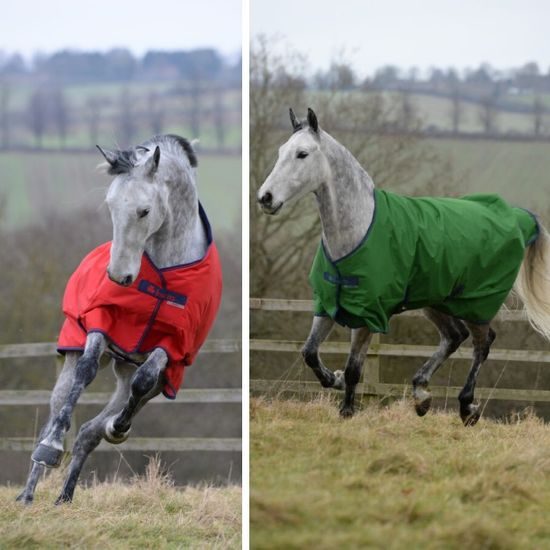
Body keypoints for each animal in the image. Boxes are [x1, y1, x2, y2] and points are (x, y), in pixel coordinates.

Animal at [17, 136, 211, 506]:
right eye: (110, 206)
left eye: (144, 211)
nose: (119, 277)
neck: (165, 274)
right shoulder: (102, 321)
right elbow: (87, 370)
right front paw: (52, 447)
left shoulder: (174, 347)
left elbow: (144, 380)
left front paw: (118, 428)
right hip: (74, 357)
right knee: (57, 411)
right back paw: (29, 490)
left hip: (138, 374)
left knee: (91, 432)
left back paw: (66, 495)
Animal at [258, 109, 550, 426]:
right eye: (280, 152)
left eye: (302, 153)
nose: (265, 198)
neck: (356, 230)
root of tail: (515, 217)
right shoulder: (327, 304)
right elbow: (309, 352)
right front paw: (333, 380)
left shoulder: (368, 313)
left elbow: (354, 367)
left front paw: (347, 411)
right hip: (435, 301)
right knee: (454, 336)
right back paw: (421, 395)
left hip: (476, 303)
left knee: (482, 343)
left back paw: (467, 407)